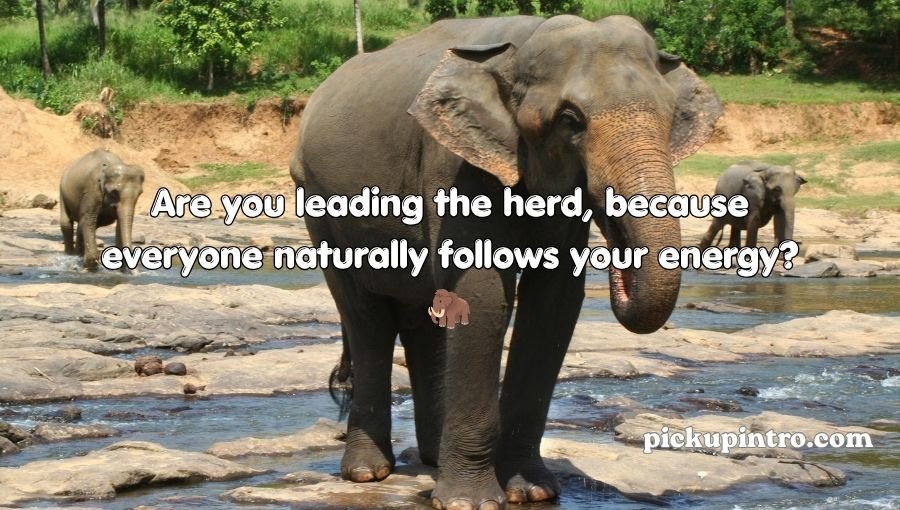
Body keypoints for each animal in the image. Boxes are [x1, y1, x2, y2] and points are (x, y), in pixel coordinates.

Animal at [291, 14, 722, 510]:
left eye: (671, 118)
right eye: (570, 121)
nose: (618, 253)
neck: (521, 46)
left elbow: (554, 301)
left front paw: (532, 491)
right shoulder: (455, 162)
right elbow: (481, 293)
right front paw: (468, 502)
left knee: (423, 321)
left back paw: (432, 460)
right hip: (317, 202)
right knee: (367, 318)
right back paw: (367, 472)